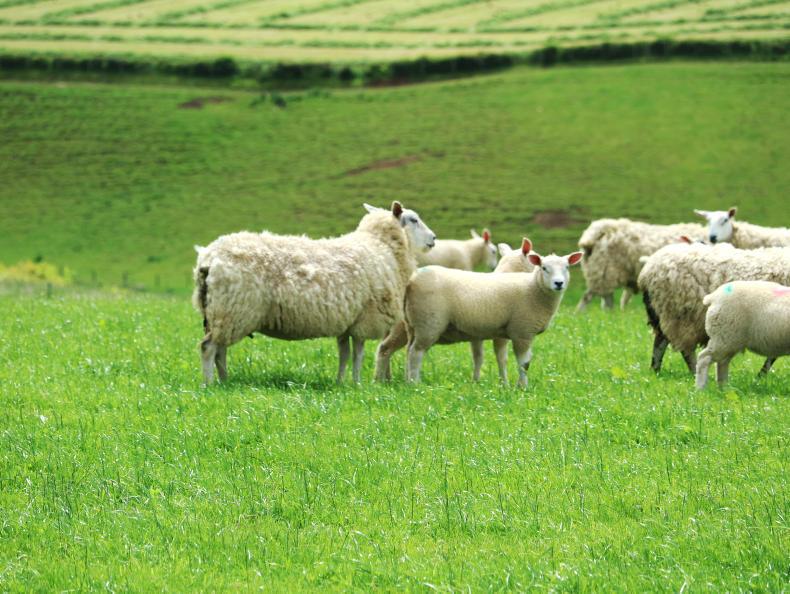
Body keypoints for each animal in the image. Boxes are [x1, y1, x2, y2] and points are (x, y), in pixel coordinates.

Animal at [193, 201, 436, 384]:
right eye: (414, 219)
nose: (433, 239)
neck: (381, 246)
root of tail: (208, 258)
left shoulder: (346, 322)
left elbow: (344, 354)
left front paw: (340, 382)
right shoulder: (365, 319)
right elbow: (358, 355)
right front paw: (358, 383)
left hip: (220, 313)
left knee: (220, 351)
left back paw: (225, 380)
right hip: (234, 310)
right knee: (209, 348)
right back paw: (209, 384)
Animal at [374, 238, 534, 382]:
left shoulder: (476, 333)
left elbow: (478, 357)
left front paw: (476, 381)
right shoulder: (500, 333)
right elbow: (502, 358)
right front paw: (504, 383)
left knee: (386, 348)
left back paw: (385, 380)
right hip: (419, 326)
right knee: (394, 350)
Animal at [403, 245, 583, 387]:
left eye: (567, 267)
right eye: (544, 268)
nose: (558, 283)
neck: (533, 288)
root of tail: (412, 279)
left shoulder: (507, 333)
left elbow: (503, 359)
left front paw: (508, 385)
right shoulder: (522, 331)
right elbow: (524, 364)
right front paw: (523, 387)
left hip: (412, 325)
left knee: (408, 351)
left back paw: (408, 380)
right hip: (429, 323)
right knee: (416, 353)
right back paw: (415, 384)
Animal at [637, 242, 790, 375]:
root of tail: (647, 271)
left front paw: (761, 376)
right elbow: (772, 357)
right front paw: (761, 376)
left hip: (665, 314)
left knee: (660, 343)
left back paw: (655, 370)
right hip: (680, 316)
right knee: (685, 350)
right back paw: (694, 372)